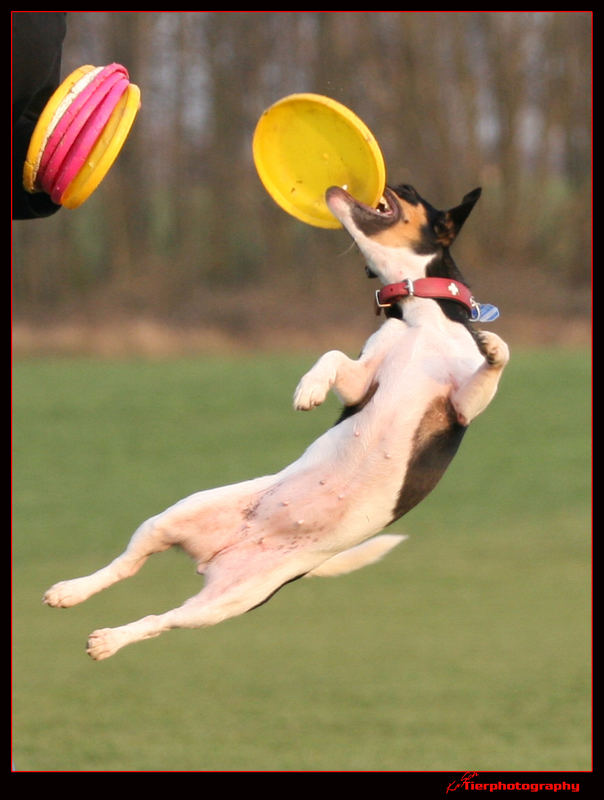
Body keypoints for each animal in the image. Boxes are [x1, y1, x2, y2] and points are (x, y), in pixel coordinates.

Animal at [42, 184, 508, 660]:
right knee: (125, 568)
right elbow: (332, 356)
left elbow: (495, 359)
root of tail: (217, 553)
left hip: (225, 600)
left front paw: (493, 346)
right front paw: (309, 389)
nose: (385, 182)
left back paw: (107, 638)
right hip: (175, 517)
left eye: (410, 191)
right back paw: (72, 593)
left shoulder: (461, 404)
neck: (423, 317)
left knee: (159, 619)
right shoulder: (363, 382)